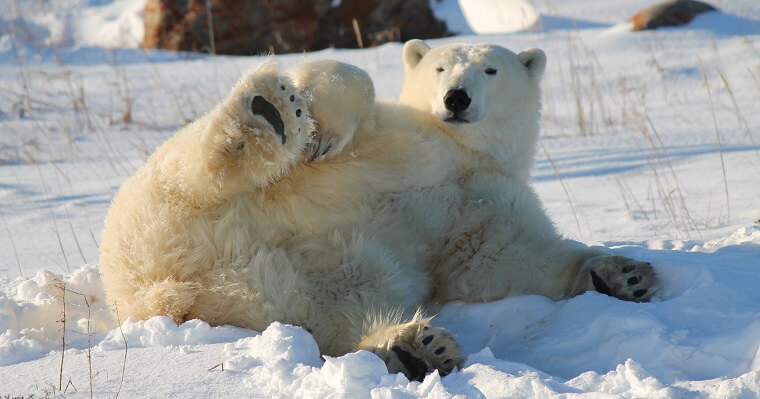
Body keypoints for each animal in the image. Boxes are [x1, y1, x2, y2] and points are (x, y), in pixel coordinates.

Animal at [99, 42, 660, 382]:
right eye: (439, 67)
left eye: (491, 69)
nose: (456, 98)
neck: (465, 151)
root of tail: (160, 292)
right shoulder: (398, 132)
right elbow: (350, 81)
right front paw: (319, 128)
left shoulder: (481, 202)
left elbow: (504, 258)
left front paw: (625, 274)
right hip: (153, 209)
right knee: (191, 173)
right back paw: (266, 115)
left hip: (291, 281)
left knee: (341, 307)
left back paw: (416, 346)